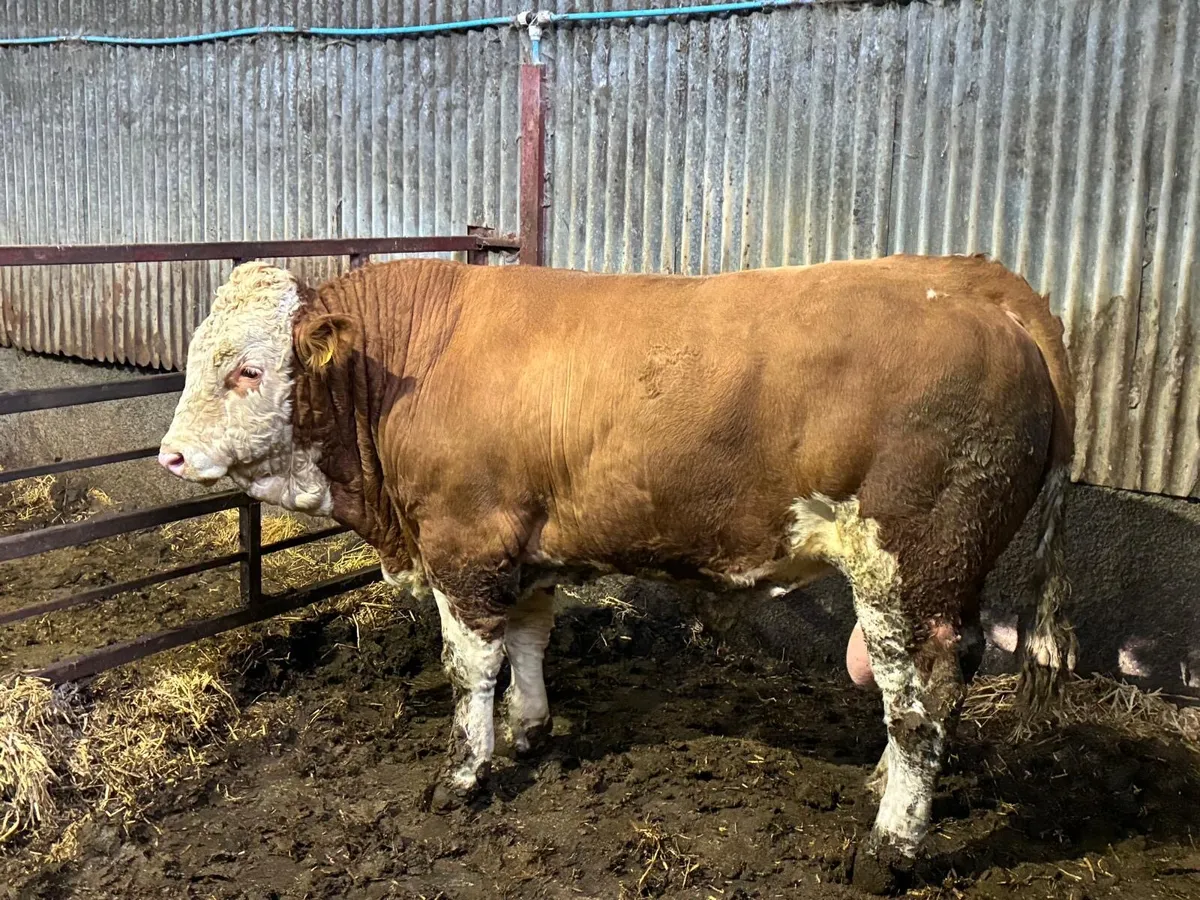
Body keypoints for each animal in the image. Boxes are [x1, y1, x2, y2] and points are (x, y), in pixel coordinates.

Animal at [158, 254, 1077, 891]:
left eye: (246, 369)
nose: (168, 455)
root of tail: (980, 286)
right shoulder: (524, 547)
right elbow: (529, 642)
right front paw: (530, 729)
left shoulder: (464, 542)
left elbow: (469, 668)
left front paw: (463, 773)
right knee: (930, 692)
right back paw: (882, 784)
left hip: (909, 567)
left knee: (919, 701)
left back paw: (889, 847)